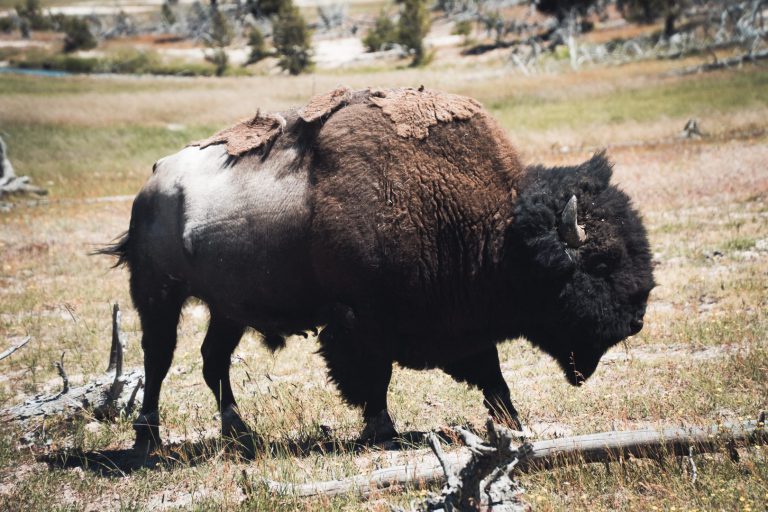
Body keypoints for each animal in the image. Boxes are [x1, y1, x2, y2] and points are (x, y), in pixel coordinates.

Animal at [100, 86, 656, 454]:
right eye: (602, 263)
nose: (635, 321)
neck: (500, 230)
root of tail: (153, 181)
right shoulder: (360, 321)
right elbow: (376, 376)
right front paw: (382, 431)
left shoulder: (463, 324)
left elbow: (493, 377)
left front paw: (512, 425)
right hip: (159, 294)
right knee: (158, 358)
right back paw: (149, 442)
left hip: (228, 308)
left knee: (213, 360)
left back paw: (242, 435)